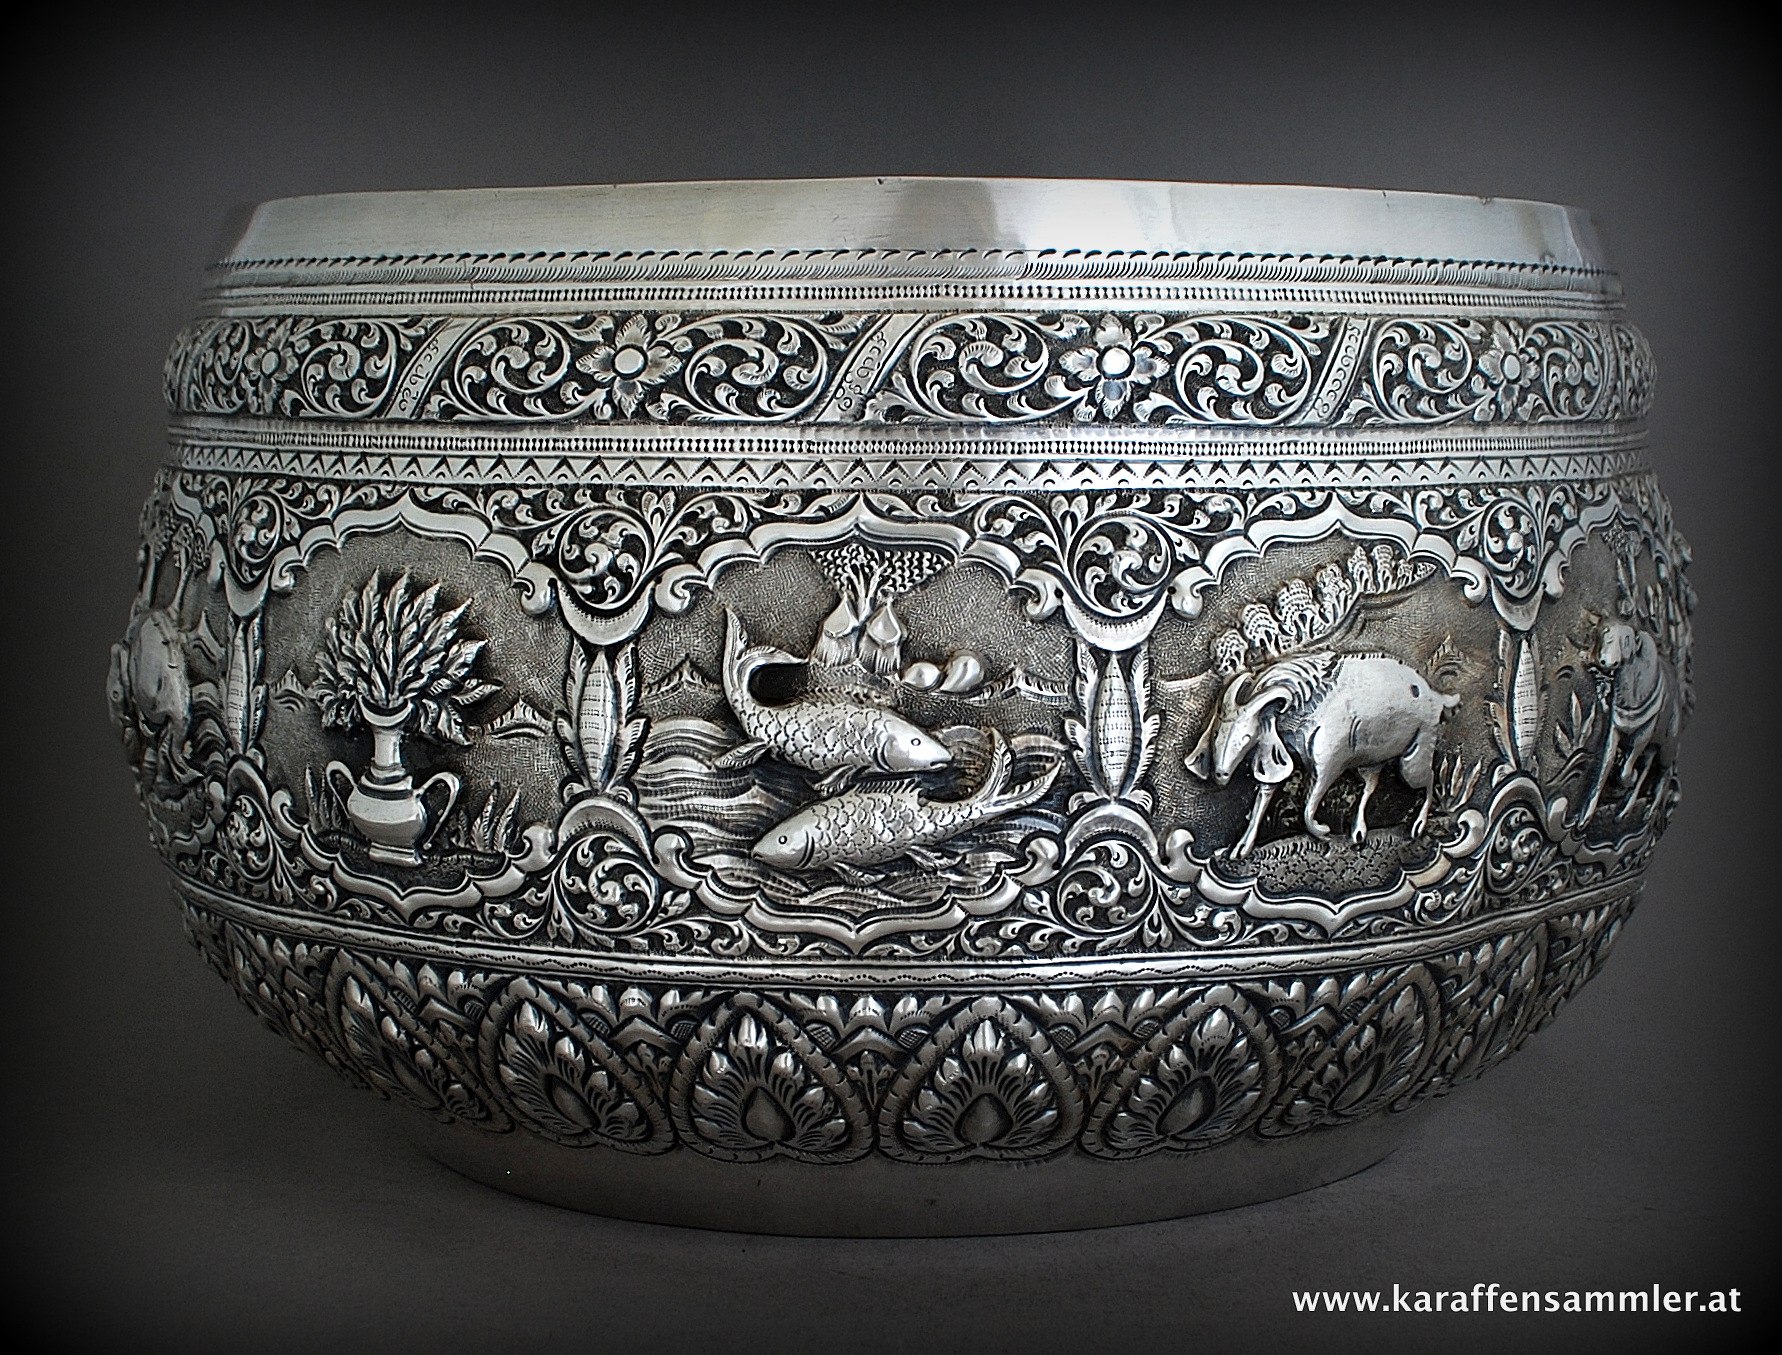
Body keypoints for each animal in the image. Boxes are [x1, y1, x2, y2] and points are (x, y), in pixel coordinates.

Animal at [1187, 651, 1460, 859]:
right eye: (1216, 734)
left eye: (1245, 737)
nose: (1220, 775)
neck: (1307, 705)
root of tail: (1436, 696)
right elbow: (1263, 797)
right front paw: (1241, 848)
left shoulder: (1328, 764)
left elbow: (1308, 808)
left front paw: (1323, 832)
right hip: (1372, 759)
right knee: (1371, 784)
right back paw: (1358, 831)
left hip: (1413, 756)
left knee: (1429, 778)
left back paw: (1418, 825)